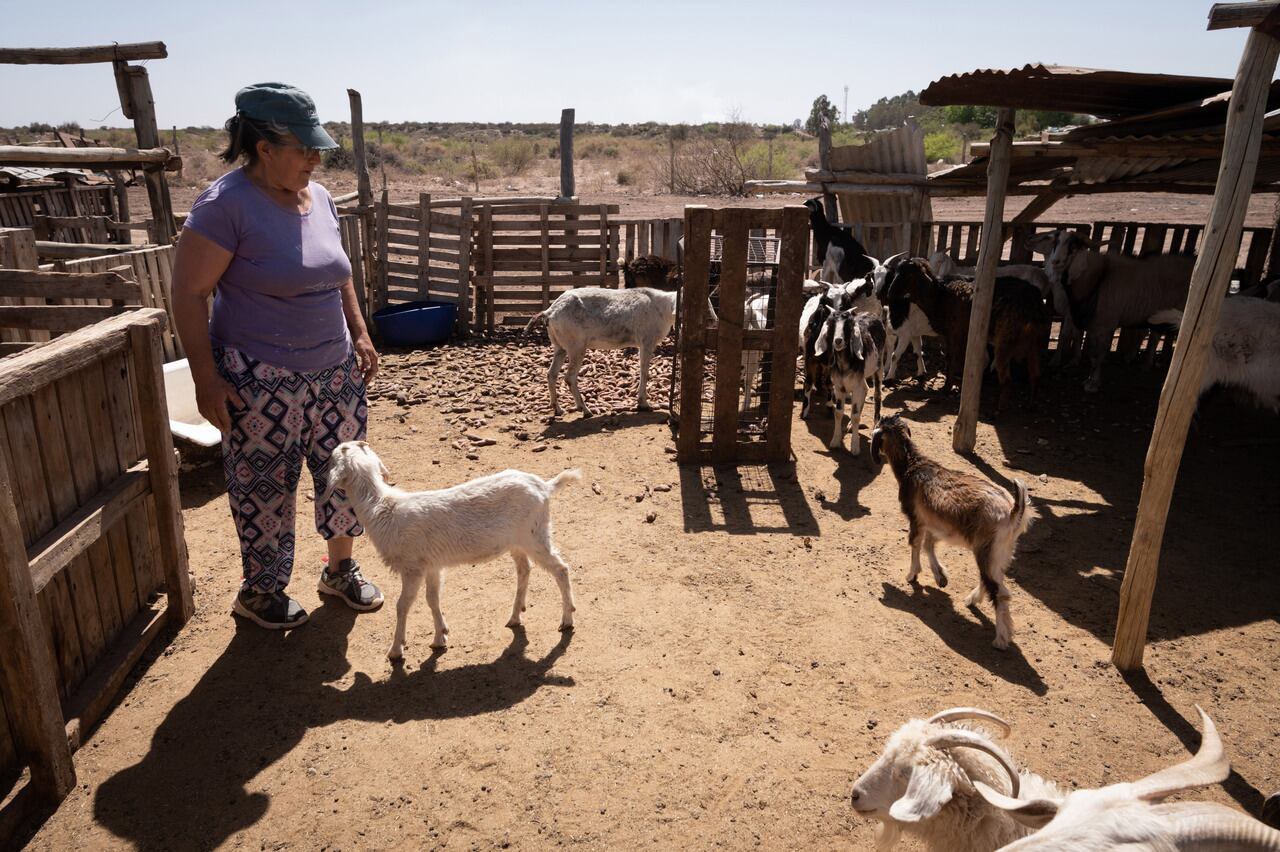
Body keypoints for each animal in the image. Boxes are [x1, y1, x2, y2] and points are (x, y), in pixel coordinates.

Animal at [865, 414, 1034, 647]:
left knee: (998, 591)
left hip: (986, 550)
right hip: (1001, 552)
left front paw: (912, 575)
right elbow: (929, 545)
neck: (913, 465)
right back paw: (972, 600)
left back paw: (1000, 638)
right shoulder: (932, 522)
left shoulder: (915, 518)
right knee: (992, 580)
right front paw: (940, 577)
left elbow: (915, 544)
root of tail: (1013, 511)